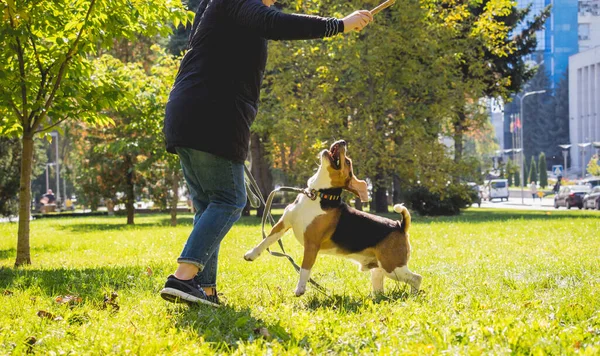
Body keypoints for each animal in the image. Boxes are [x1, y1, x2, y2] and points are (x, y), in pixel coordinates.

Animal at [244, 140, 422, 296]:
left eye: (348, 162)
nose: (343, 141)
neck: (317, 195)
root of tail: (400, 225)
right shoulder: (283, 224)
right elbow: (266, 240)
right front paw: (251, 254)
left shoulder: (311, 244)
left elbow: (304, 268)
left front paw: (300, 289)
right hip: (379, 269)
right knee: (381, 286)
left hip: (393, 267)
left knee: (416, 278)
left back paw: (413, 296)